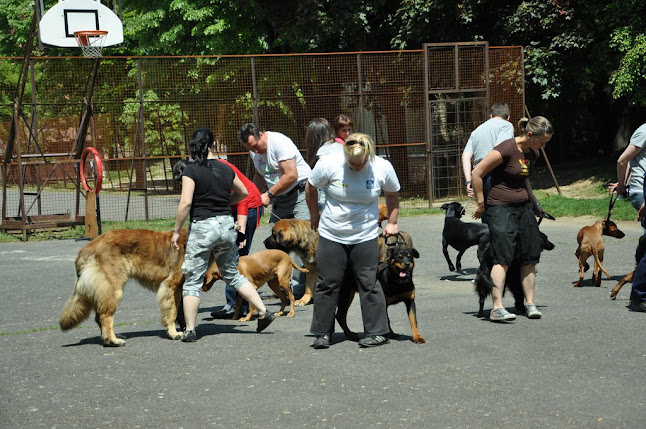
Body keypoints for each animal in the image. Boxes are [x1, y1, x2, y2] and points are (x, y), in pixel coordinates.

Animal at [59, 227, 187, 344]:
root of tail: (88, 247)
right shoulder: (172, 286)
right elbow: (173, 311)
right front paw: (173, 333)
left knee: (98, 317)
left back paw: (107, 339)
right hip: (113, 289)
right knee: (105, 316)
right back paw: (113, 340)